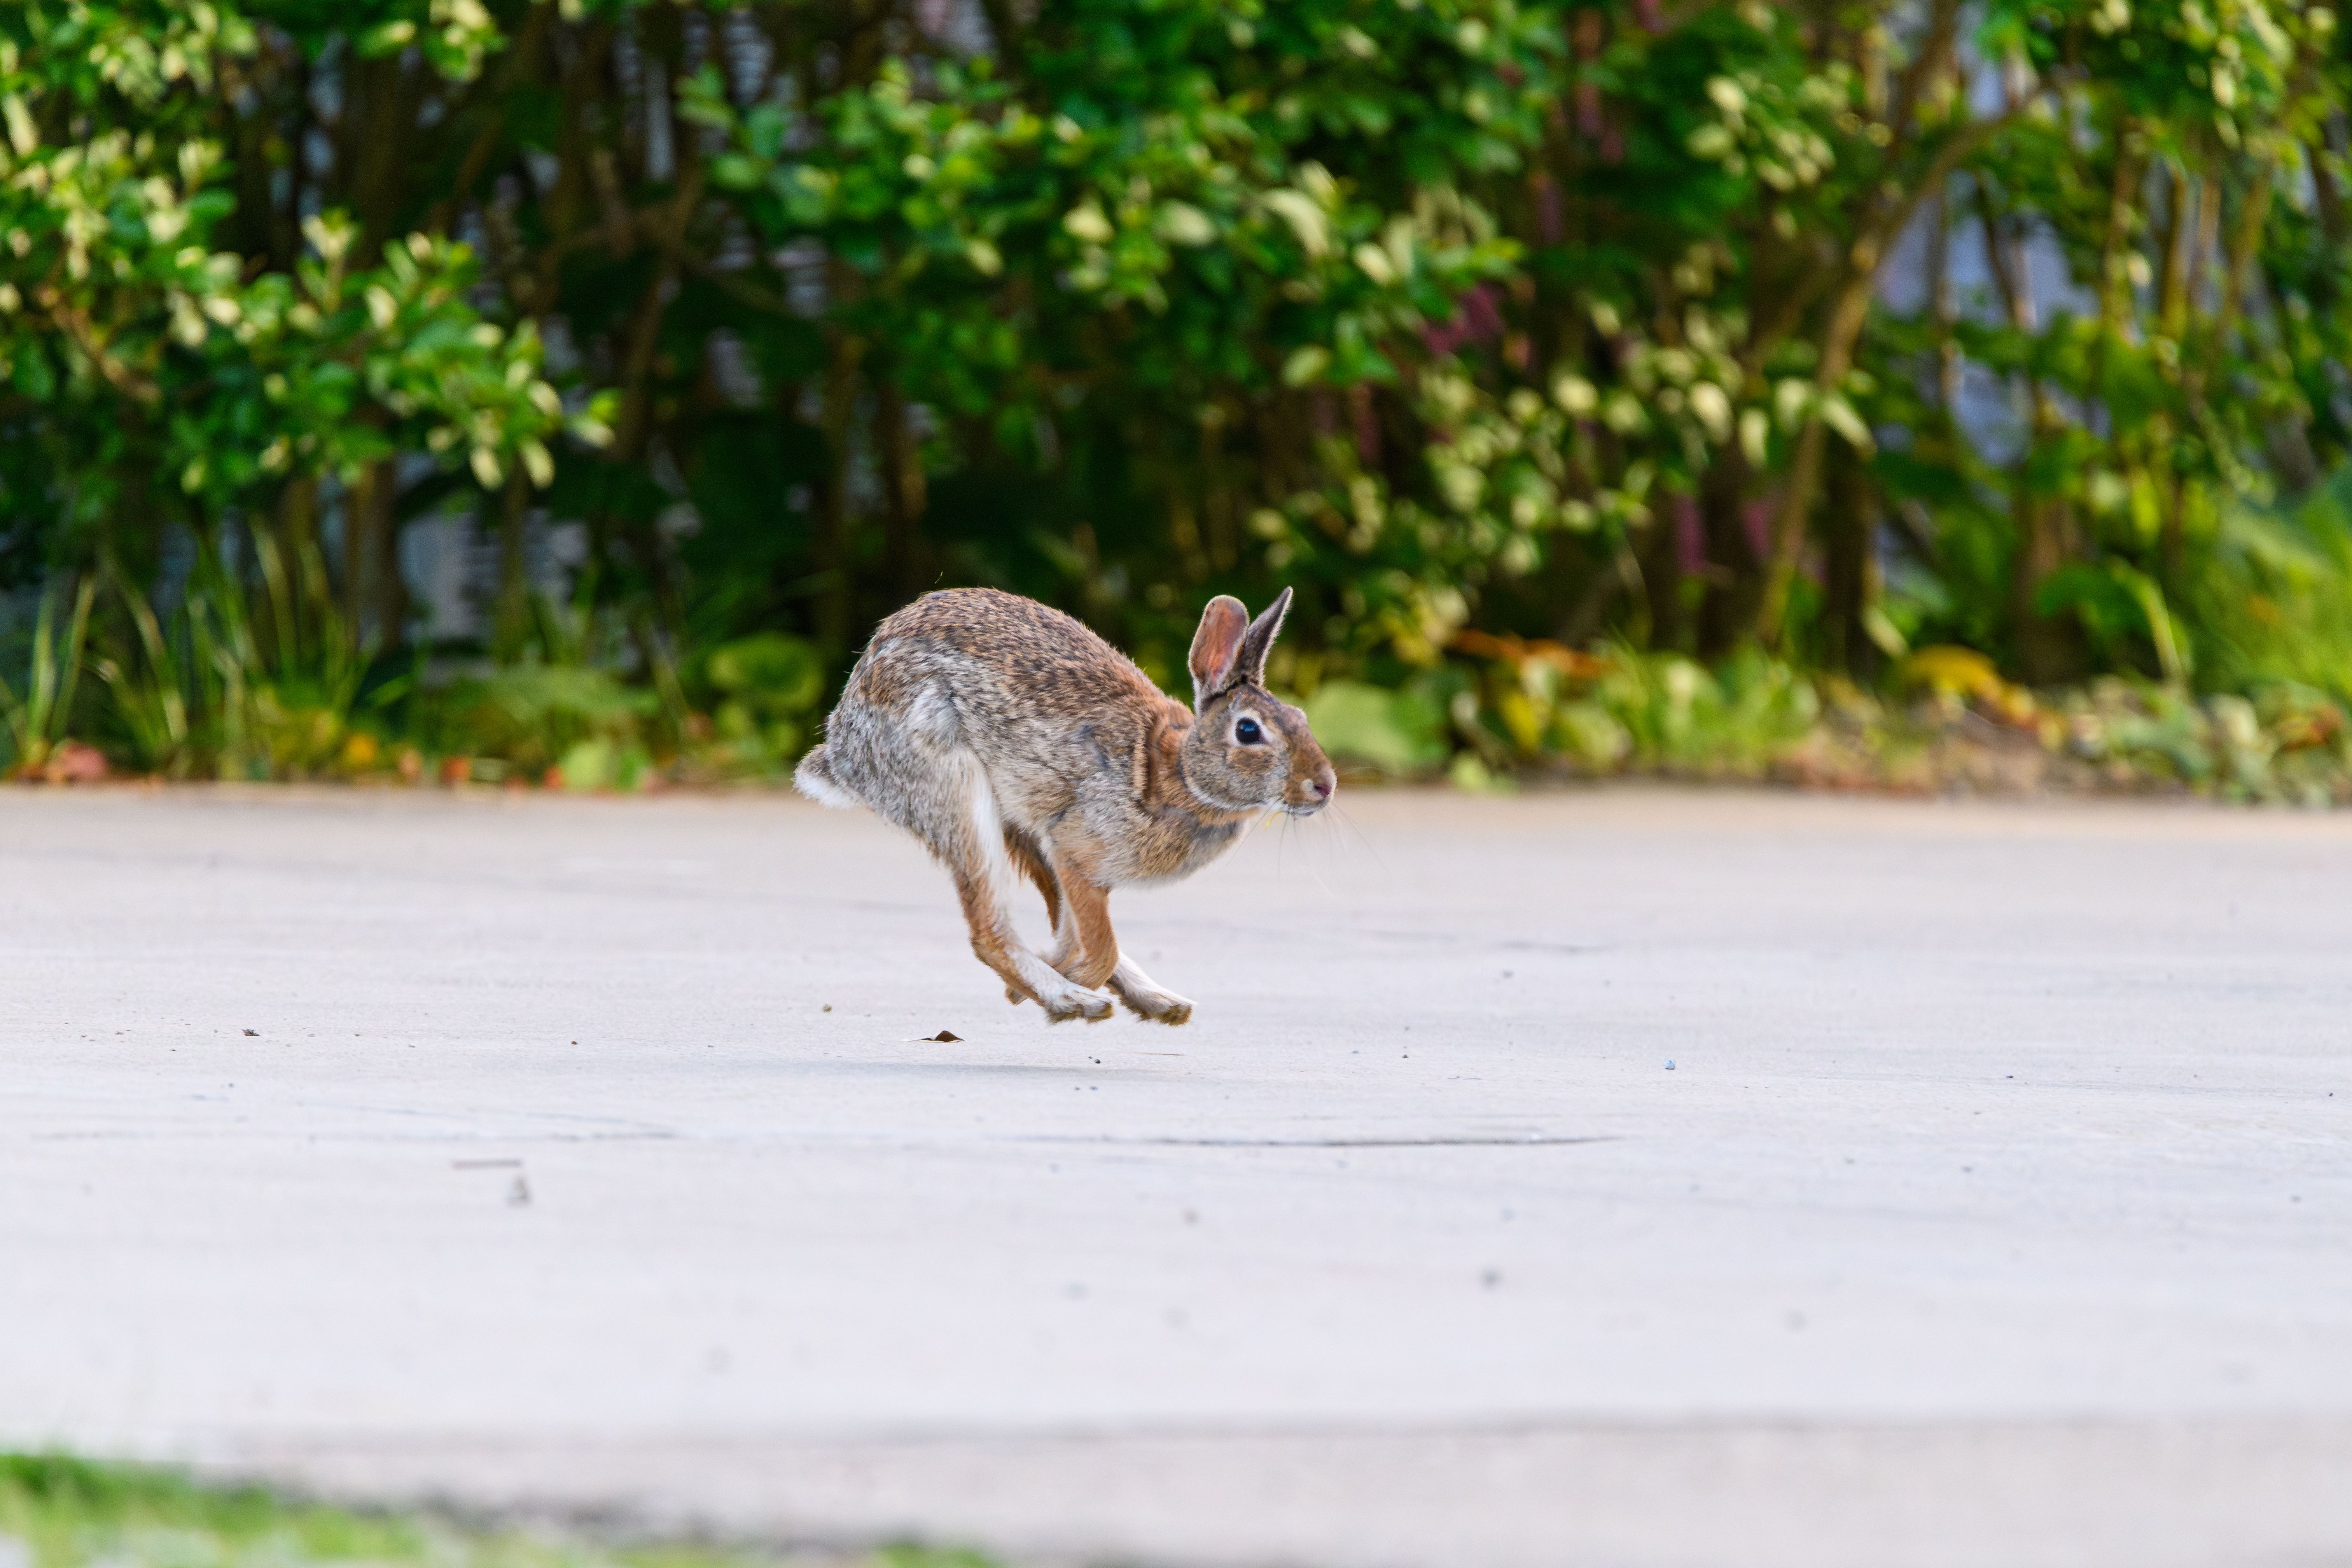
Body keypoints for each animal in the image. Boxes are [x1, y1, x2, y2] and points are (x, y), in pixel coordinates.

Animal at [795, 586, 1335, 1024]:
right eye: (1248, 731)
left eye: (1301, 718)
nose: (1324, 786)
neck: (1174, 772)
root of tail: (845, 748)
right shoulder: (1075, 852)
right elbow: (1097, 947)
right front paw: (1039, 990)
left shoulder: (1067, 857)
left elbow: (1082, 937)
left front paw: (1048, 980)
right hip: (957, 790)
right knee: (988, 931)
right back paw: (1072, 999)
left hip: (1019, 823)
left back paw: (1157, 1002)